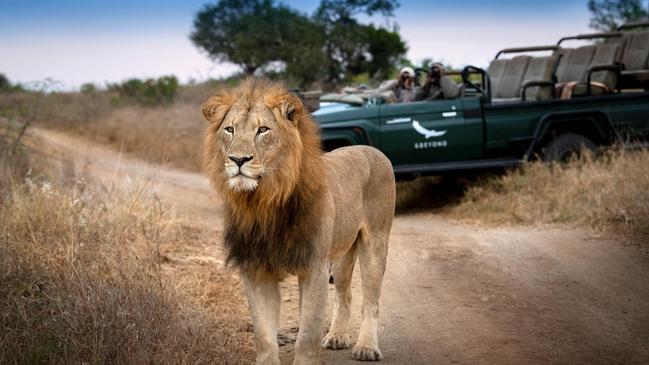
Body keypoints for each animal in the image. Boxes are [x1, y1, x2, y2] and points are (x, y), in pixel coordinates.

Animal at [202, 78, 394, 362]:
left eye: (263, 130)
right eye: (230, 129)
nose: (238, 160)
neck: (263, 202)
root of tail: (372, 148)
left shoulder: (314, 267)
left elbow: (307, 336)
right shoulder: (257, 270)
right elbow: (264, 337)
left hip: (375, 241)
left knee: (371, 299)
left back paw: (367, 347)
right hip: (341, 251)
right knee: (344, 293)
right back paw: (337, 336)